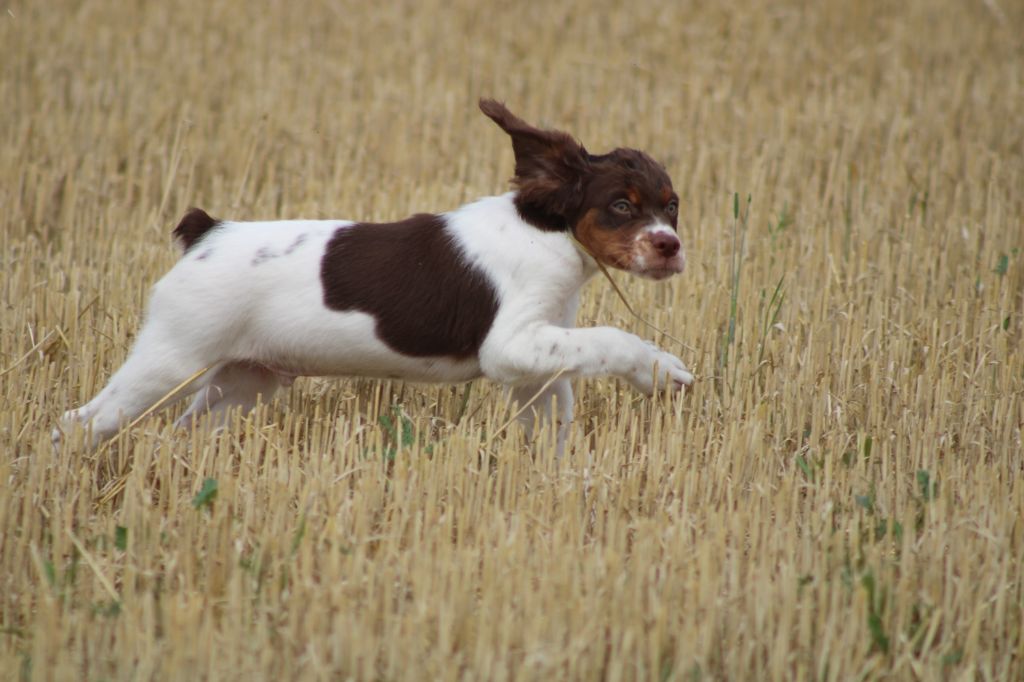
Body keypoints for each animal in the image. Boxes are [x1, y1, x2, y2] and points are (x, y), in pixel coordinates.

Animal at [56, 99, 696, 450]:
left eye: (672, 205)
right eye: (621, 205)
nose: (670, 247)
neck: (550, 230)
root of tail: (206, 233)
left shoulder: (536, 358)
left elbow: (556, 413)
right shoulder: (510, 343)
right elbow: (612, 339)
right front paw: (663, 371)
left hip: (242, 380)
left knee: (186, 431)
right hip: (171, 359)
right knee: (80, 423)